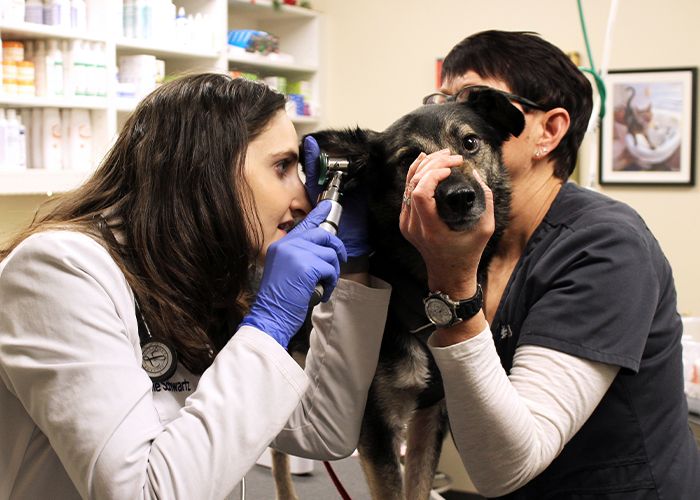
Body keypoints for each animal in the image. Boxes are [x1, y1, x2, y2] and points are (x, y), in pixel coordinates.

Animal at [274, 88, 524, 498]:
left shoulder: (430, 415)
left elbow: (418, 487)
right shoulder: (377, 426)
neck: (420, 290)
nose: (460, 197)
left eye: (470, 143)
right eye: (408, 160)